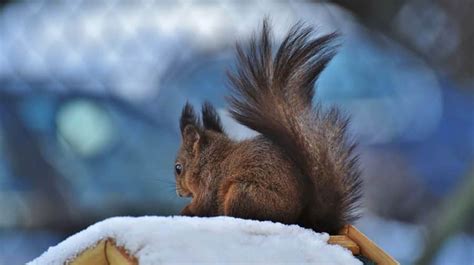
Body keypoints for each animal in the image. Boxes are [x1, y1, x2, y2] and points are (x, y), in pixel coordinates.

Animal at [174, 20, 362, 233]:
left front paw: (184, 212)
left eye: (178, 168)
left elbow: (202, 205)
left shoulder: (208, 182)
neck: (207, 159)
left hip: (243, 193)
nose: (179, 192)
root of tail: (304, 220)